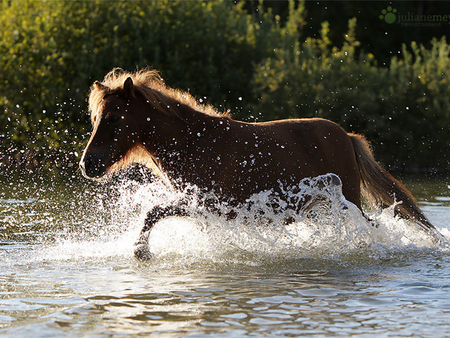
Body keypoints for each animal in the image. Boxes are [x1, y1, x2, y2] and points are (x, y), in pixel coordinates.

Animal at [80, 68, 442, 258]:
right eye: (96, 117)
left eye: (113, 118)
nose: (87, 165)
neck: (196, 144)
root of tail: (346, 137)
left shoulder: (210, 205)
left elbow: (153, 212)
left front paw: (141, 251)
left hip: (345, 202)